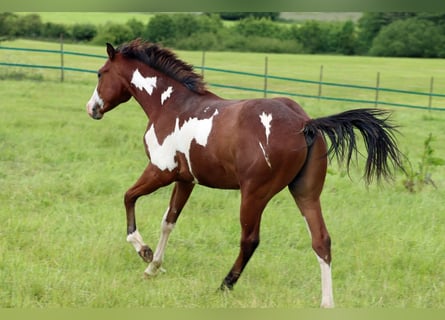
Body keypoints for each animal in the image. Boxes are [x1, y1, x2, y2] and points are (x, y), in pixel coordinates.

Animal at [84, 39, 402, 308]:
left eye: (101, 73)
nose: (92, 109)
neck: (171, 105)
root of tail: (305, 123)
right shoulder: (186, 180)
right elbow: (168, 221)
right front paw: (152, 268)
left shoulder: (161, 171)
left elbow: (128, 198)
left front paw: (144, 252)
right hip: (306, 192)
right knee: (321, 240)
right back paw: (327, 303)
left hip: (254, 194)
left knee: (250, 239)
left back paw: (225, 285)